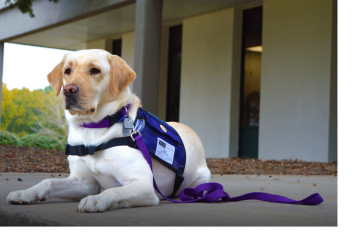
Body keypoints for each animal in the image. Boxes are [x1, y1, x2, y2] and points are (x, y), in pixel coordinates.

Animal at [5, 49, 210, 212]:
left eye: (95, 70)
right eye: (67, 71)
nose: (68, 90)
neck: (93, 128)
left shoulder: (144, 185)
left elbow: (114, 190)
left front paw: (96, 200)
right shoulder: (84, 181)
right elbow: (48, 181)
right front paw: (26, 193)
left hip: (201, 179)